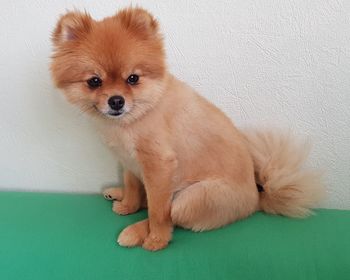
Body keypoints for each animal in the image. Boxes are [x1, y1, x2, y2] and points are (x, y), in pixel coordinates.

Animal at [50, 7, 326, 252]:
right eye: (94, 82)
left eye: (133, 79)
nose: (116, 101)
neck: (136, 116)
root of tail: (258, 198)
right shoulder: (129, 161)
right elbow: (133, 186)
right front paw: (128, 204)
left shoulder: (159, 166)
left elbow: (158, 211)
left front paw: (156, 240)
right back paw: (118, 194)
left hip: (189, 200)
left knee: (171, 212)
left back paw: (135, 231)